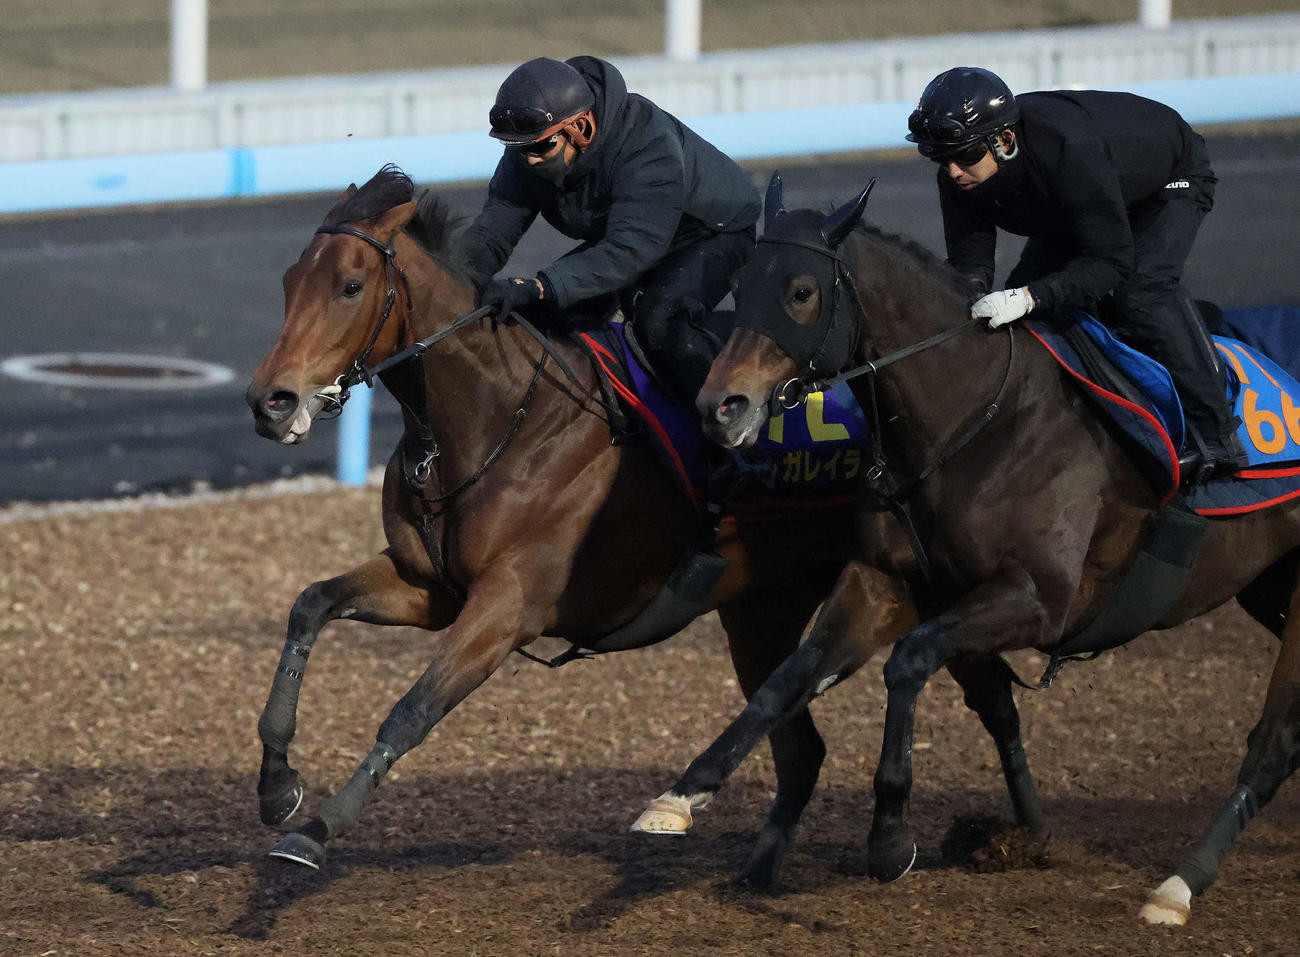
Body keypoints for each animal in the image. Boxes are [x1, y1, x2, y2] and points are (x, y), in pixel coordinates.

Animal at [243, 164, 905, 885]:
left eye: (351, 285)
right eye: (288, 280)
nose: (269, 401)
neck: (495, 417)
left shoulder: (508, 607)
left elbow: (411, 710)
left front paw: (316, 830)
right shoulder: (429, 588)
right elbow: (310, 605)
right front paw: (277, 786)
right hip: (761, 612)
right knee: (801, 745)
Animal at [678, 173, 1300, 924]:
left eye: (800, 290)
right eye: (742, 283)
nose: (719, 406)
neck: (973, 421)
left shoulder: (1040, 598)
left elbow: (908, 663)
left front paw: (890, 837)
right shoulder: (887, 580)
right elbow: (785, 680)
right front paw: (683, 791)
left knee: (1273, 743)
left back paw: (1179, 884)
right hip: (1269, 586)